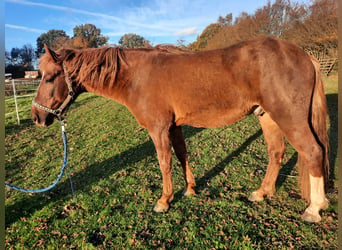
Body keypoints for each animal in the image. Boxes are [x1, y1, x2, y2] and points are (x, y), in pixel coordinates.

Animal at [31, 37, 328, 223]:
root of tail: (303, 54)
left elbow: (164, 161)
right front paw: (190, 189)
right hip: (267, 117)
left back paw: (314, 208)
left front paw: (164, 200)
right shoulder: (174, 126)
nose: (36, 117)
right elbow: (183, 155)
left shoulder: (159, 129)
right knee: (276, 152)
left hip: (288, 117)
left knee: (313, 152)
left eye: (50, 77)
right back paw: (261, 192)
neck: (136, 77)